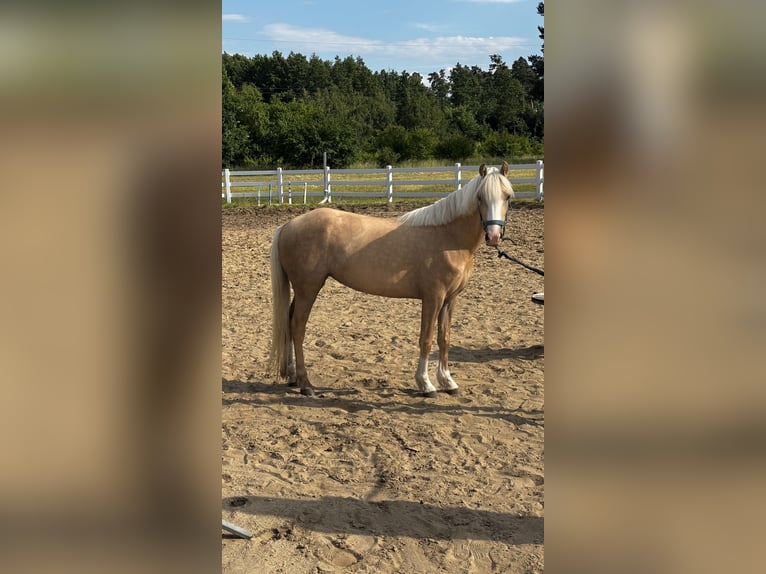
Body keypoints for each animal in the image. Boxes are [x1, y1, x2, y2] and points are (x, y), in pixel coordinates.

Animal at [269, 163, 514, 397]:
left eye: (508, 196)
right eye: (480, 197)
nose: (493, 236)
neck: (449, 237)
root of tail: (287, 225)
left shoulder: (450, 299)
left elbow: (444, 339)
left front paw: (447, 382)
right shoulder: (433, 297)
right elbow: (426, 339)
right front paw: (426, 384)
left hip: (301, 290)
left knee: (289, 322)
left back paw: (292, 376)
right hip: (308, 289)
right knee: (297, 326)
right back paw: (305, 384)